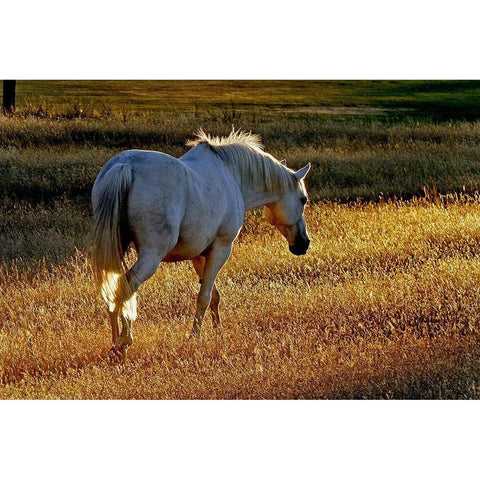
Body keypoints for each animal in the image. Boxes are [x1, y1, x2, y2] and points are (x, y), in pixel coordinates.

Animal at [92, 129, 312, 358]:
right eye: (303, 199)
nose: (303, 244)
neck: (231, 174)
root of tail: (124, 166)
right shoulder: (221, 250)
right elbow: (204, 297)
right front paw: (194, 336)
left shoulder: (199, 255)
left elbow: (213, 295)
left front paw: (217, 330)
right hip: (151, 256)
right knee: (127, 285)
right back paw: (124, 341)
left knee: (112, 290)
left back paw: (114, 341)